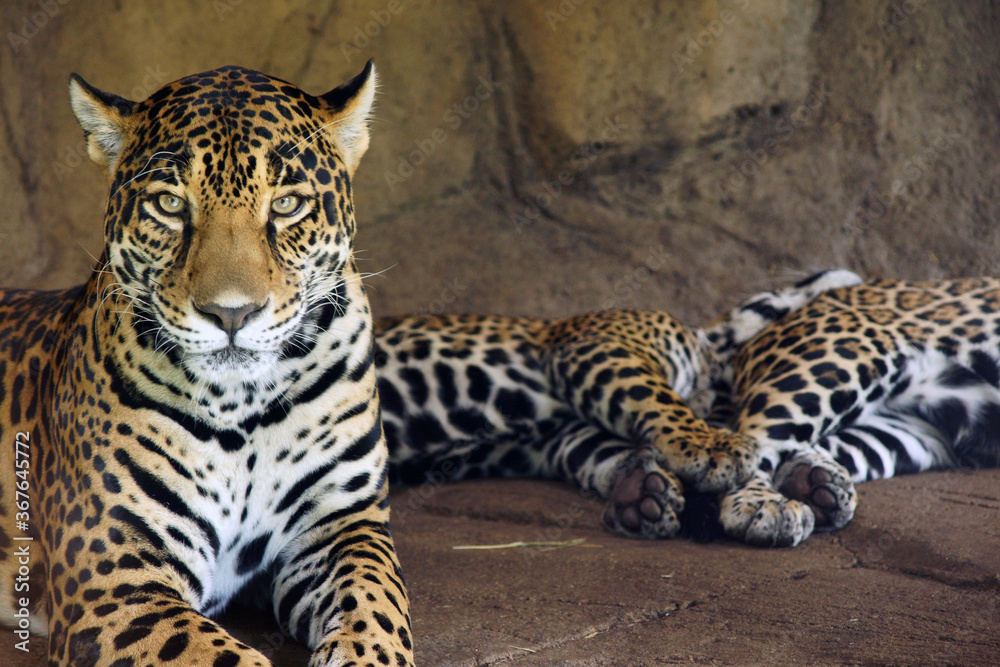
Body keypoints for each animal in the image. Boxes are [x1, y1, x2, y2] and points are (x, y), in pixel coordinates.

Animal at [0, 63, 414, 666]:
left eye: (287, 204)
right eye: (170, 206)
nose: (231, 312)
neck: (243, 407)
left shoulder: (344, 522)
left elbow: (377, 597)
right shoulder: (115, 581)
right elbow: (219, 655)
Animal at [374, 269, 864, 544]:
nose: (848, 270)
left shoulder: (553, 434)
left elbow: (596, 447)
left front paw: (641, 492)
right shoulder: (598, 344)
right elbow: (659, 398)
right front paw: (713, 450)